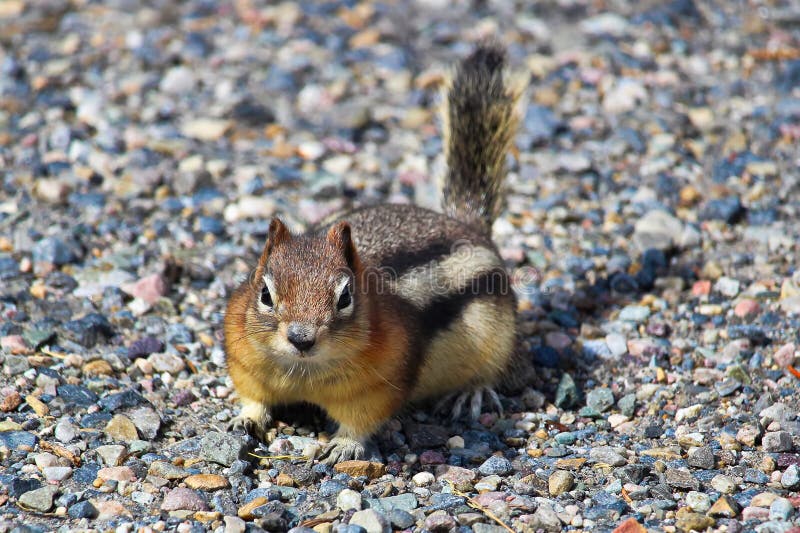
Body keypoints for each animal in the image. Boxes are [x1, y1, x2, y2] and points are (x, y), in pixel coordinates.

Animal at [223, 44, 524, 462]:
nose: (301, 338)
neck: (304, 372)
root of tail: (465, 224)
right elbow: (252, 395)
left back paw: (472, 392)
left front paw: (344, 445)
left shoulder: (379, 386)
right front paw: (246, 417)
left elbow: (362, 420)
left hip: (497, 333)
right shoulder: (243, 359)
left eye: (345, 297)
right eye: (265, 294)